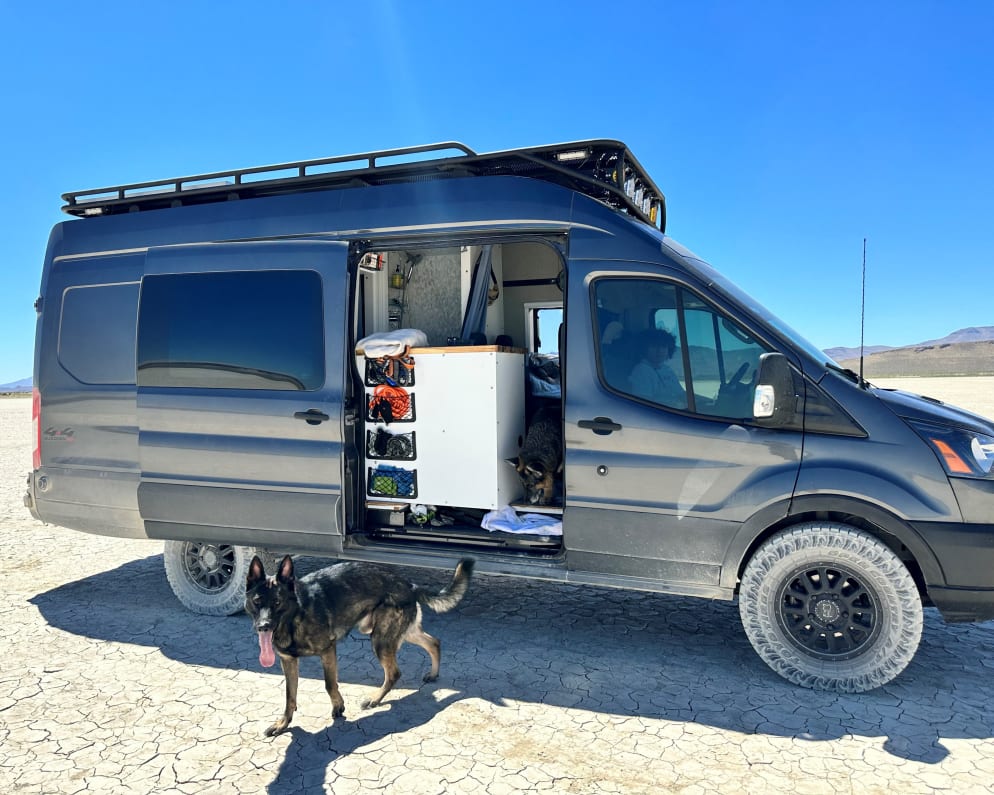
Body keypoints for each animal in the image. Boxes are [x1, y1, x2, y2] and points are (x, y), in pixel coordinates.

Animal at [242, 552, 470, 732]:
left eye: (277, 602)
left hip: (381, 641)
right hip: (403, 633)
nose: (263, 626)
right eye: (257, 602)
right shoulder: (288, 661)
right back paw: (433, 673)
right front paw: (283, 723)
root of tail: (409, 584)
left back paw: (375, 699)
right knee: (434, 642)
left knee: (394, 673)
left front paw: (338, 707)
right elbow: (290, 696)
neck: (297, 614)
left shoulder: (328, 651)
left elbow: (329, 684)